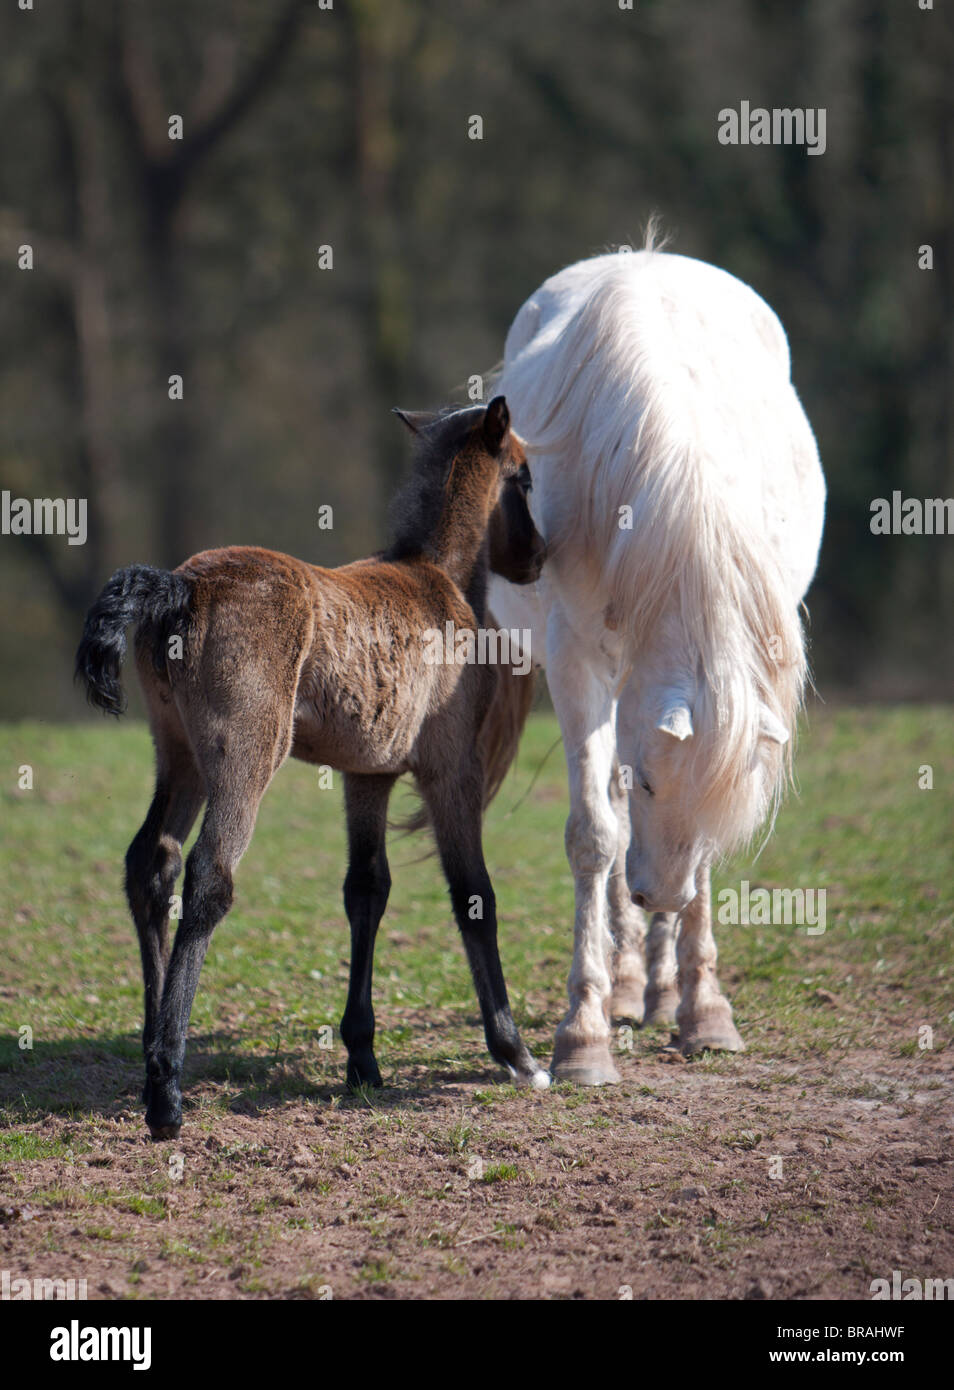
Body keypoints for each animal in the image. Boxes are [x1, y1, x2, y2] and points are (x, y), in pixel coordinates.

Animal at [75, 396, 551, 1138]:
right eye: (524, 479)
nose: (538, 557)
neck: (436, 578)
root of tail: (179, 584)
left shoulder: (368, 774)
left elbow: (367, 890)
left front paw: (363, 1060)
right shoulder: (452, 770)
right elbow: (475, 896)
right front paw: (517, 1054)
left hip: (178, 753)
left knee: (151, 862)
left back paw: (152, 1054)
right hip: (246, 753)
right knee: (209, 876)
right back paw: (167, 1094)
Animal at [487, 245, 826, 1084]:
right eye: (648, 783)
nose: (657, 898)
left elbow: (703, 853)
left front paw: (704, 1011)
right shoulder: (577, 661)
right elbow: (594, 833)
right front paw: (583, 1036)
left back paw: (662, 987)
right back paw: (624, 984)